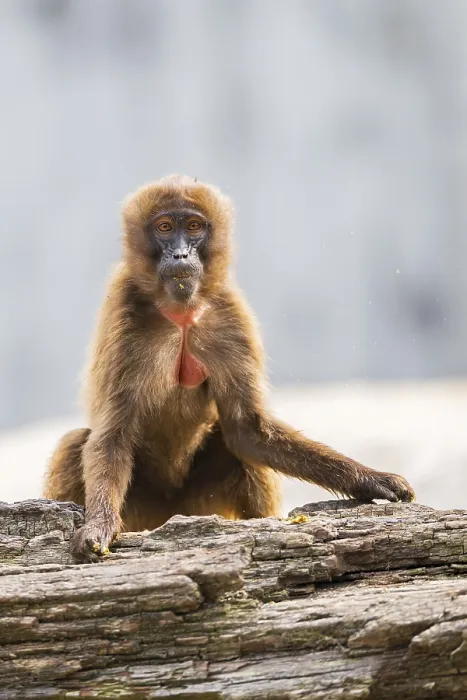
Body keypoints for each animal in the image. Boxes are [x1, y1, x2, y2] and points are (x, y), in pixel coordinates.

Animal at [44, 174, 415, 561]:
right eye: (164, 227)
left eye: (193, 227)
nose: (180, 254)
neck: (181, 315)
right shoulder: (124, 310)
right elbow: (111, 436)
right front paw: (98, 525)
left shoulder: (228, 314)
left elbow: (249, 430)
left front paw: (371, 479)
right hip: (143, 510)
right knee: (74, 444)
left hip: (200, 503)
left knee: (238, 447)